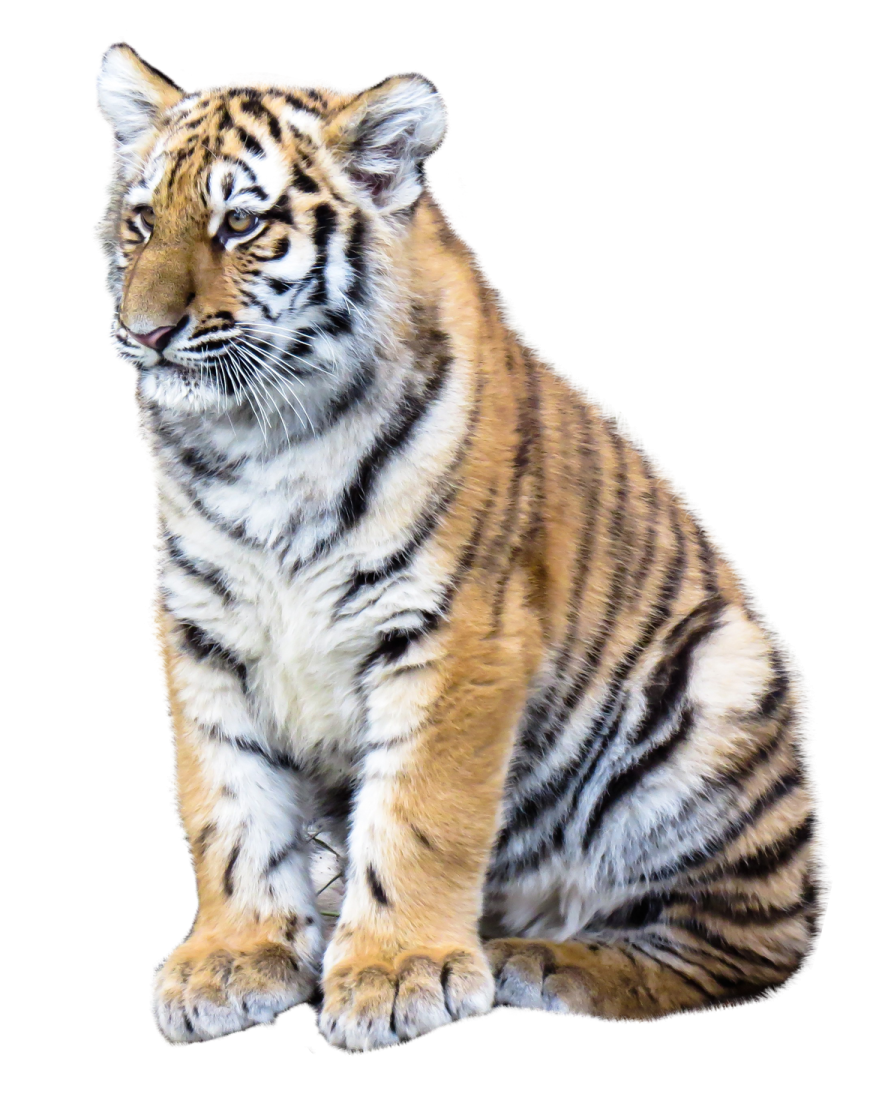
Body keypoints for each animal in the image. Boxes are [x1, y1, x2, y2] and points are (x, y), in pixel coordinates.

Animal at [91, 39, 828, 1054]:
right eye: (139, 222)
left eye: (240, 223)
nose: (145, 333)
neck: (263, 443)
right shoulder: (201, 627)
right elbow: (227, 802)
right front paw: (234, 958)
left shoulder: (455, 628)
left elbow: (421, 811)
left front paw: (399, 973)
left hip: (717, 690)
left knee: (745, 946)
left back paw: (543, 961)